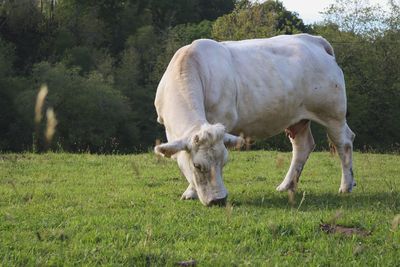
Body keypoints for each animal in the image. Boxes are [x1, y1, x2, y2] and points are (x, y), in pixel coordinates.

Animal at [154, 33, 356, 207]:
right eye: (197, 165)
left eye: (224, 162)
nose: (219, 200)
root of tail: (314, 40)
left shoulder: (223, 118)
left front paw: (190, 192)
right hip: (297, 119)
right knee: (302, 146)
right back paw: (287, 186)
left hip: (333, 113)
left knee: (344, 142)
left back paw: (346, 186)